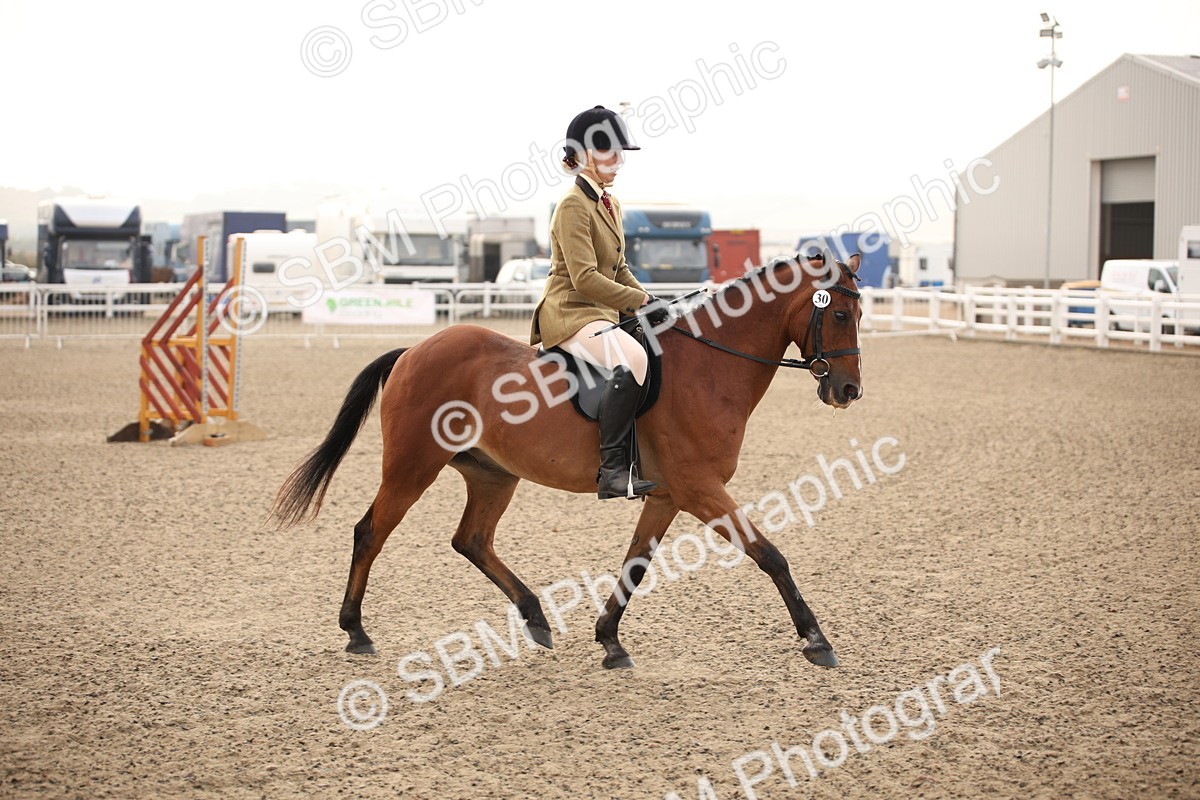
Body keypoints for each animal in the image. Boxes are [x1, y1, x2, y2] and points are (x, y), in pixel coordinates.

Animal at [272, 253, 863, 669]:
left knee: (471, 540)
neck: (709, 367)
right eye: (837, 313)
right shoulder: (701, 489)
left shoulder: (669, 495)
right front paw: (817, 640)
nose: (848, 391)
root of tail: (414, 350)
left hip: (492, 474)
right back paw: (356, 632)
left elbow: (635, 564)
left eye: (859, 313)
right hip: (412, 465)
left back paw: (536, 618)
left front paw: (610, 641)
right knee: (371, 532)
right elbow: (771, 556)